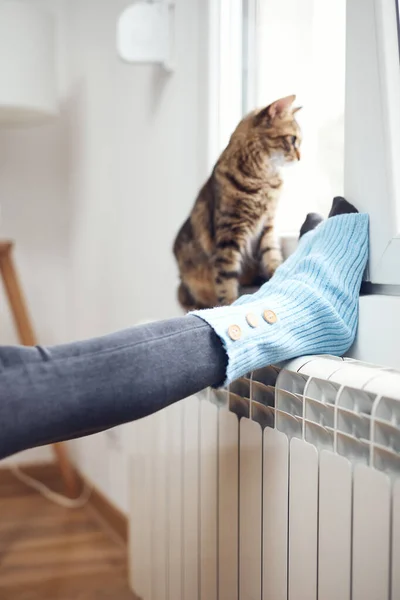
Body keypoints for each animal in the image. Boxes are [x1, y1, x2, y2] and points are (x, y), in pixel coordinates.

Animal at [173, 95, 302, 310]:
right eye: (293, 139)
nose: (300, 157)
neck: (263, 180)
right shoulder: (230, 233)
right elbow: (226, 278)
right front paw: (230, 304)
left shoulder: (267, 227)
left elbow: (272, 256)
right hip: (185, 289)